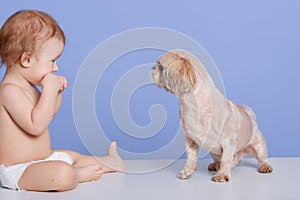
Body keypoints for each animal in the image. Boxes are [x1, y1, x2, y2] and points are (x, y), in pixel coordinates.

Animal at [151, 49, 274, 181]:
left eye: (160, 66)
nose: (152, 67)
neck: (194, 107)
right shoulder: (190, 139)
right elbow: (191, 156)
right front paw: (187, 171)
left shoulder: (228, 140)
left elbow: (226, 159)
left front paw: (222, 176)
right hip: (213, 152)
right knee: (220, 160)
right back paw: (215, 165)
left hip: (259, 145)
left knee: (261, 158)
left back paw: (264, 166)